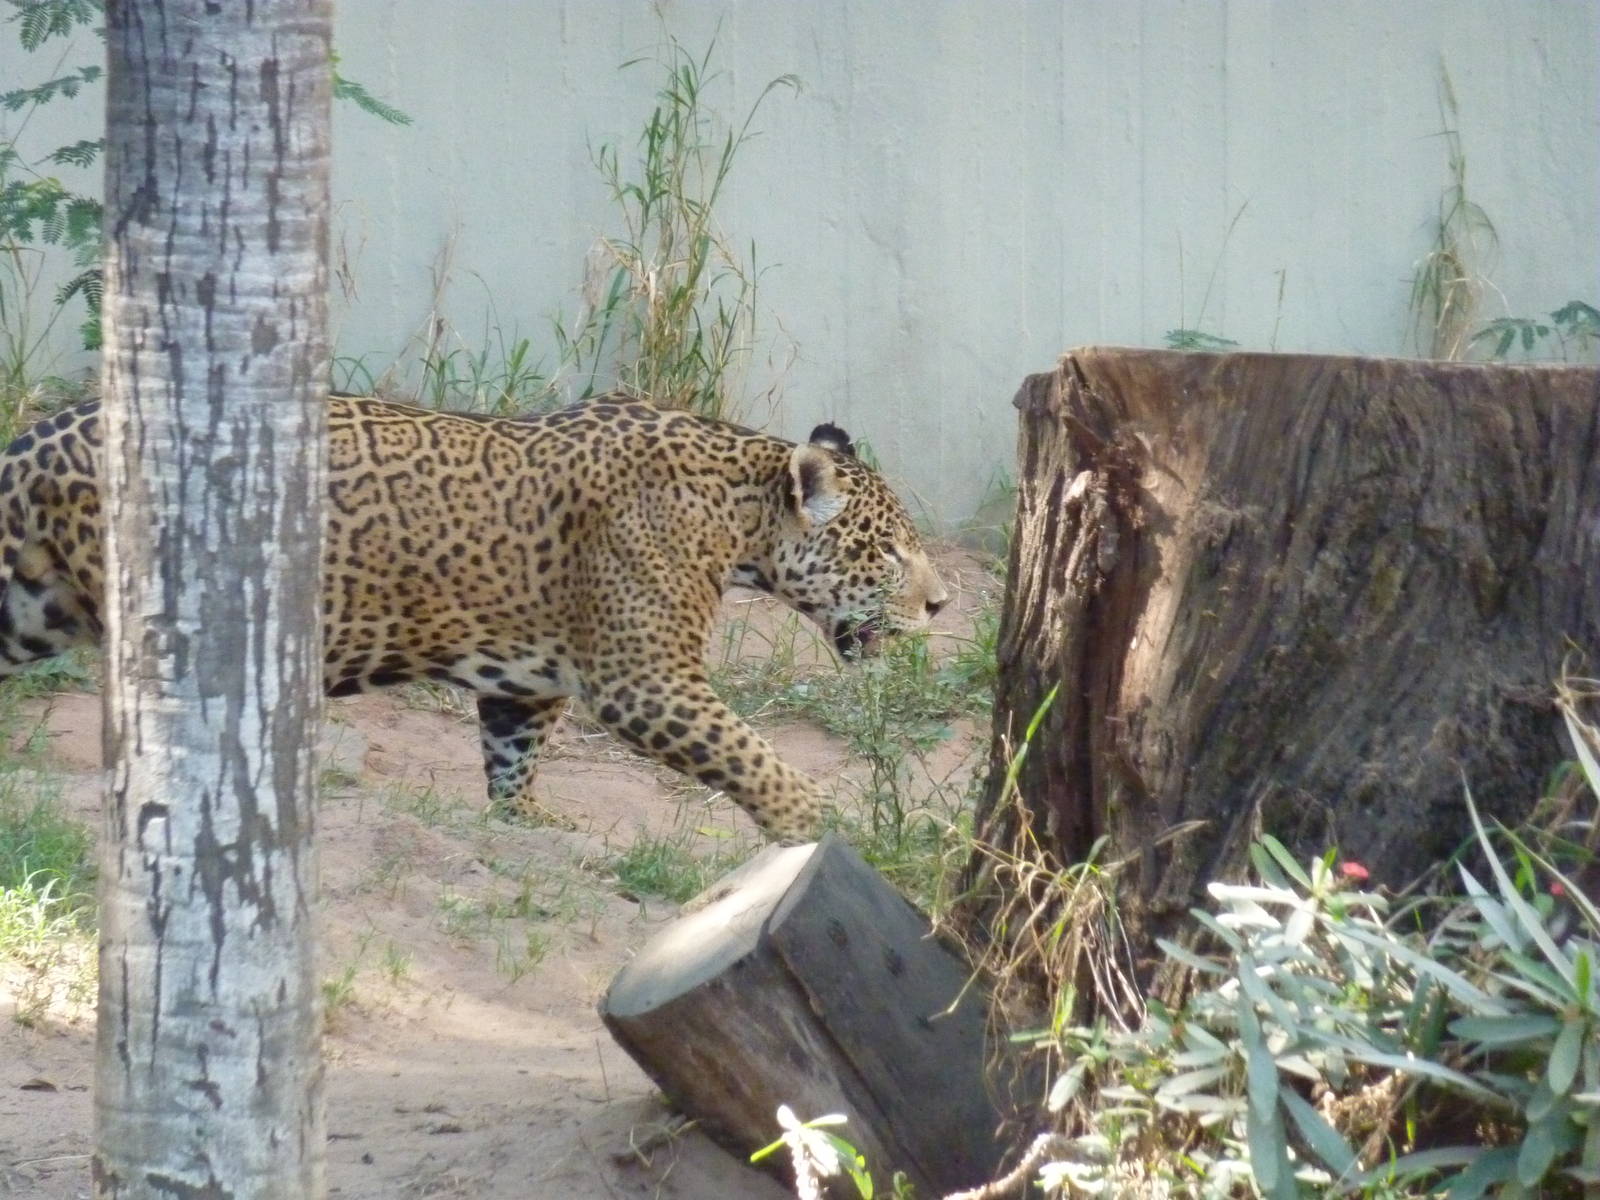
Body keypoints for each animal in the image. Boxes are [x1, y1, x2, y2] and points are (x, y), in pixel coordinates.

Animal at [0, 395, 948, 841]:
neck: (735, 510)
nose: (944, 603)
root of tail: (41, 434)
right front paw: (811, 826)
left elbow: (512, 754)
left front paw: (527, 821)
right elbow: (752, 755)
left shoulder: (528, 680)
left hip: (28, 606)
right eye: (889, 551)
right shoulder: (648, 681)